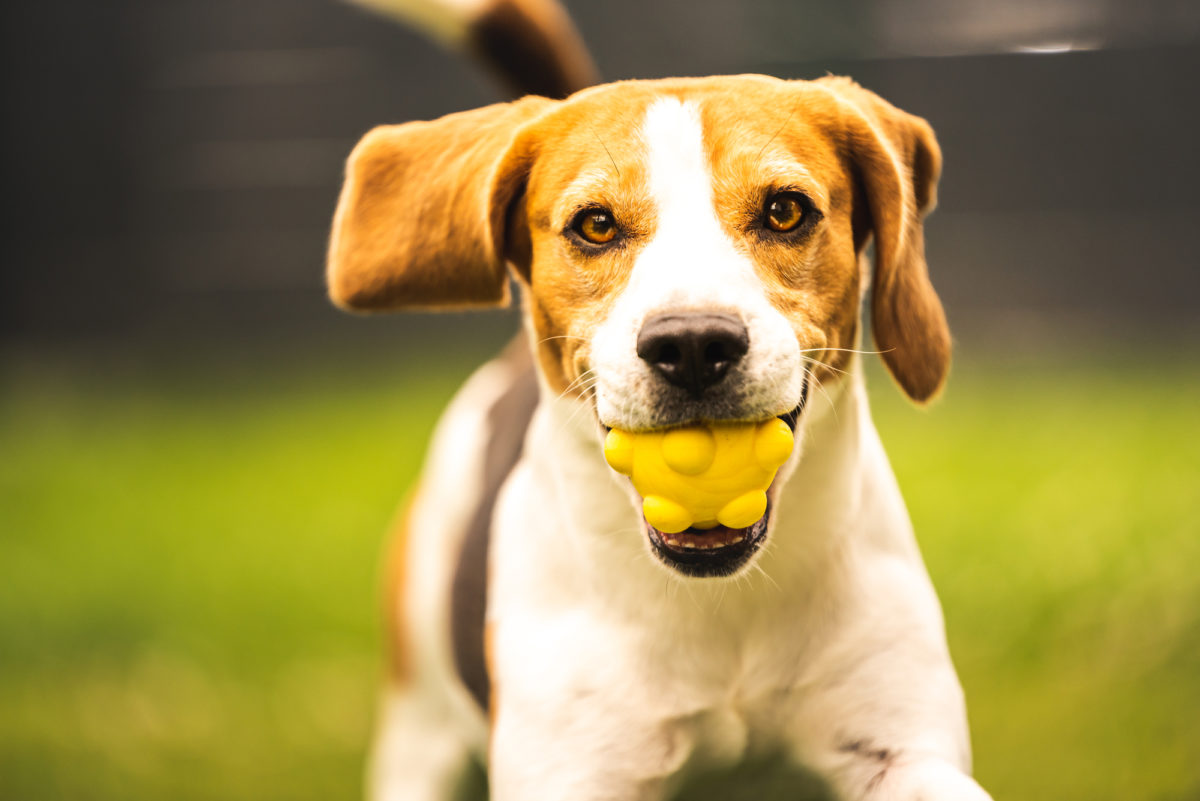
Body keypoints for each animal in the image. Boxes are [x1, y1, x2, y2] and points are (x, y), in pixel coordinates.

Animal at [324, 3, 988, 796]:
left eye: (785, 211)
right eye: (596, 224)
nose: (695, 344)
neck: (721, 604)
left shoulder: (901, 745)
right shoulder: (573, 769)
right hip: (415, 728)